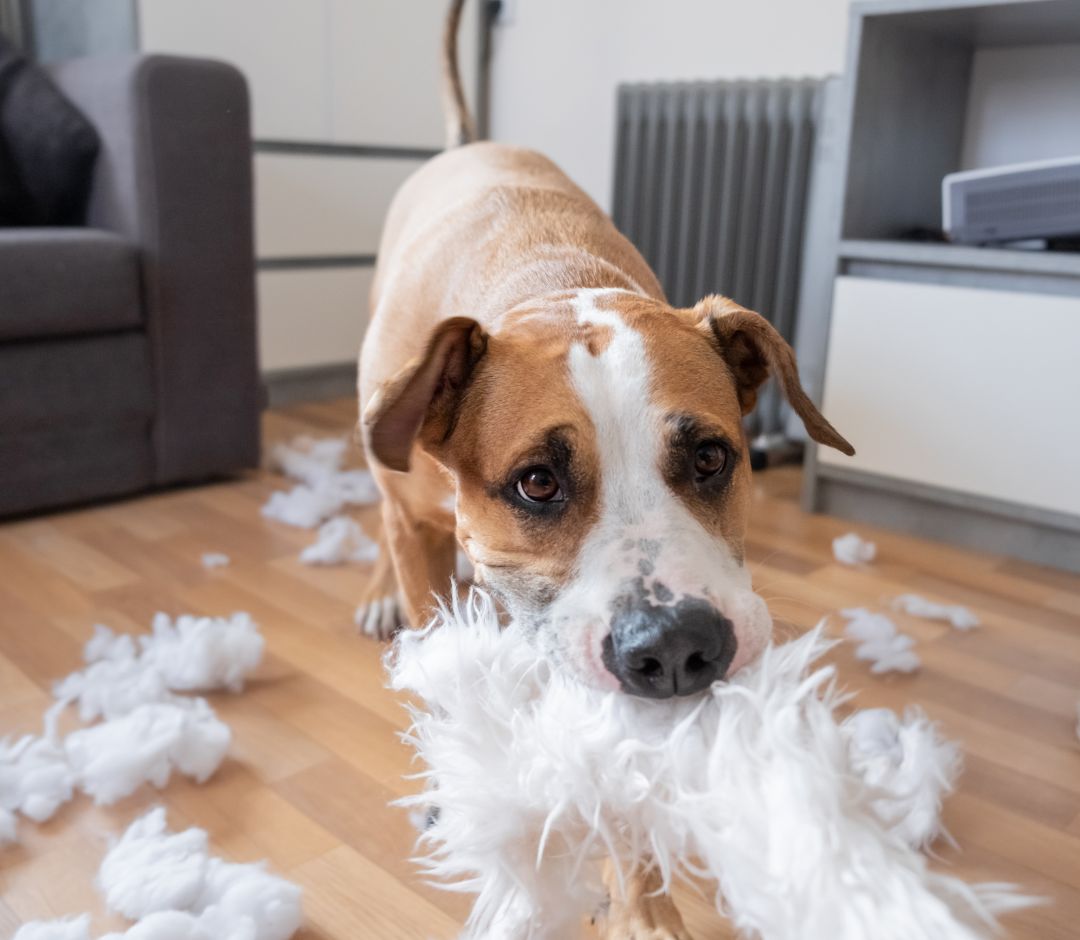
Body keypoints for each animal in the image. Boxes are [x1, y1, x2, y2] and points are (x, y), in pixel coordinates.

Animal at [358, 3, 855, 937]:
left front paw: (645, 908)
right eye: (537, 482)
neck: (548, 283)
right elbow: (437, 659)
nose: (678, 648)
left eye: (710, 457)